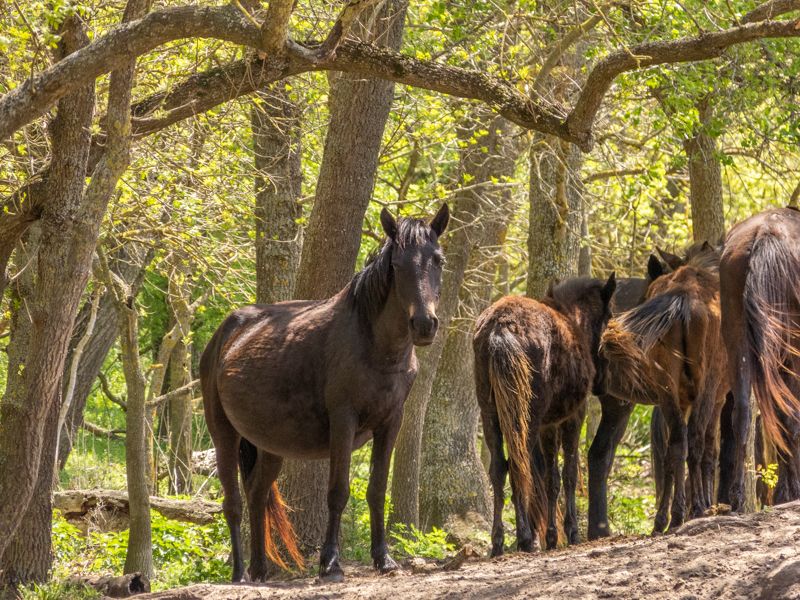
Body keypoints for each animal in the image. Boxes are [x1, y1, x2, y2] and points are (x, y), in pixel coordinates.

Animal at [200, 205, 449, 583]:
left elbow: (377, 490)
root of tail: (224, 336)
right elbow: (338, 492)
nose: (424, 325)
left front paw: (384, 559)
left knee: (257, 495)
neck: (374, 346)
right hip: (223, 434)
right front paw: (330, 563)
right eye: (396, 265)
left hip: (269, 445)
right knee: (234, 505)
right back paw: (240, 573)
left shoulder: (391, 423)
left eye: (438, 260)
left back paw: (260, 570)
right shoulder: (344, 421)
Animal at [473, 274, 616, 555]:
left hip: (490, 414)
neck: (574, 321)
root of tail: (499, 330)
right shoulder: (573, 416)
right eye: (609, 318)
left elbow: (552, 478)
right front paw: (570, 532)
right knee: (519, 467)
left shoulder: (549, 426)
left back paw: (498, 542)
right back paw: (526, 538)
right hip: (526, 417)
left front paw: (551, 536)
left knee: (499, 469)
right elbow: (569, 474)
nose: (603, 383)